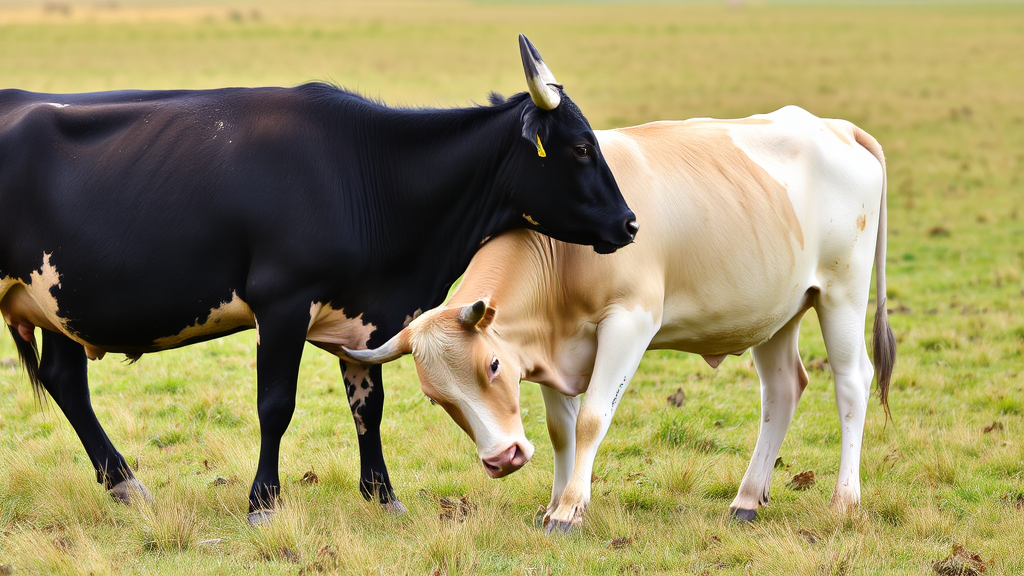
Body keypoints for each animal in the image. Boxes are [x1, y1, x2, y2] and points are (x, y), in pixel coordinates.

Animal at [0, 34, 634, 520]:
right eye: (582, 147)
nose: (629, 223)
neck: (366, 171)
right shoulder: (282, 301)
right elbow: (275, 404)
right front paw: (263, 502)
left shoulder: (365, 316)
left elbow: (368, 406)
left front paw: (383, 497)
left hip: (55, 302)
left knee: (66, 381)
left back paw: (126, 486)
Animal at [342, 105, 888, 532]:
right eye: (436, 398)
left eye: (492, 366)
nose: (501, 459)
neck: (563, 250)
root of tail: (834, 126)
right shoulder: (549, 348)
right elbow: (560, 429)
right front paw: (553, 505)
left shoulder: (630, 322)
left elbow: (590, 419)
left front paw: (568, 511)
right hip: (774, 314)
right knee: (781, 390)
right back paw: (747, 499)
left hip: (842, 292)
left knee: (852, 383)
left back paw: (844, 501)